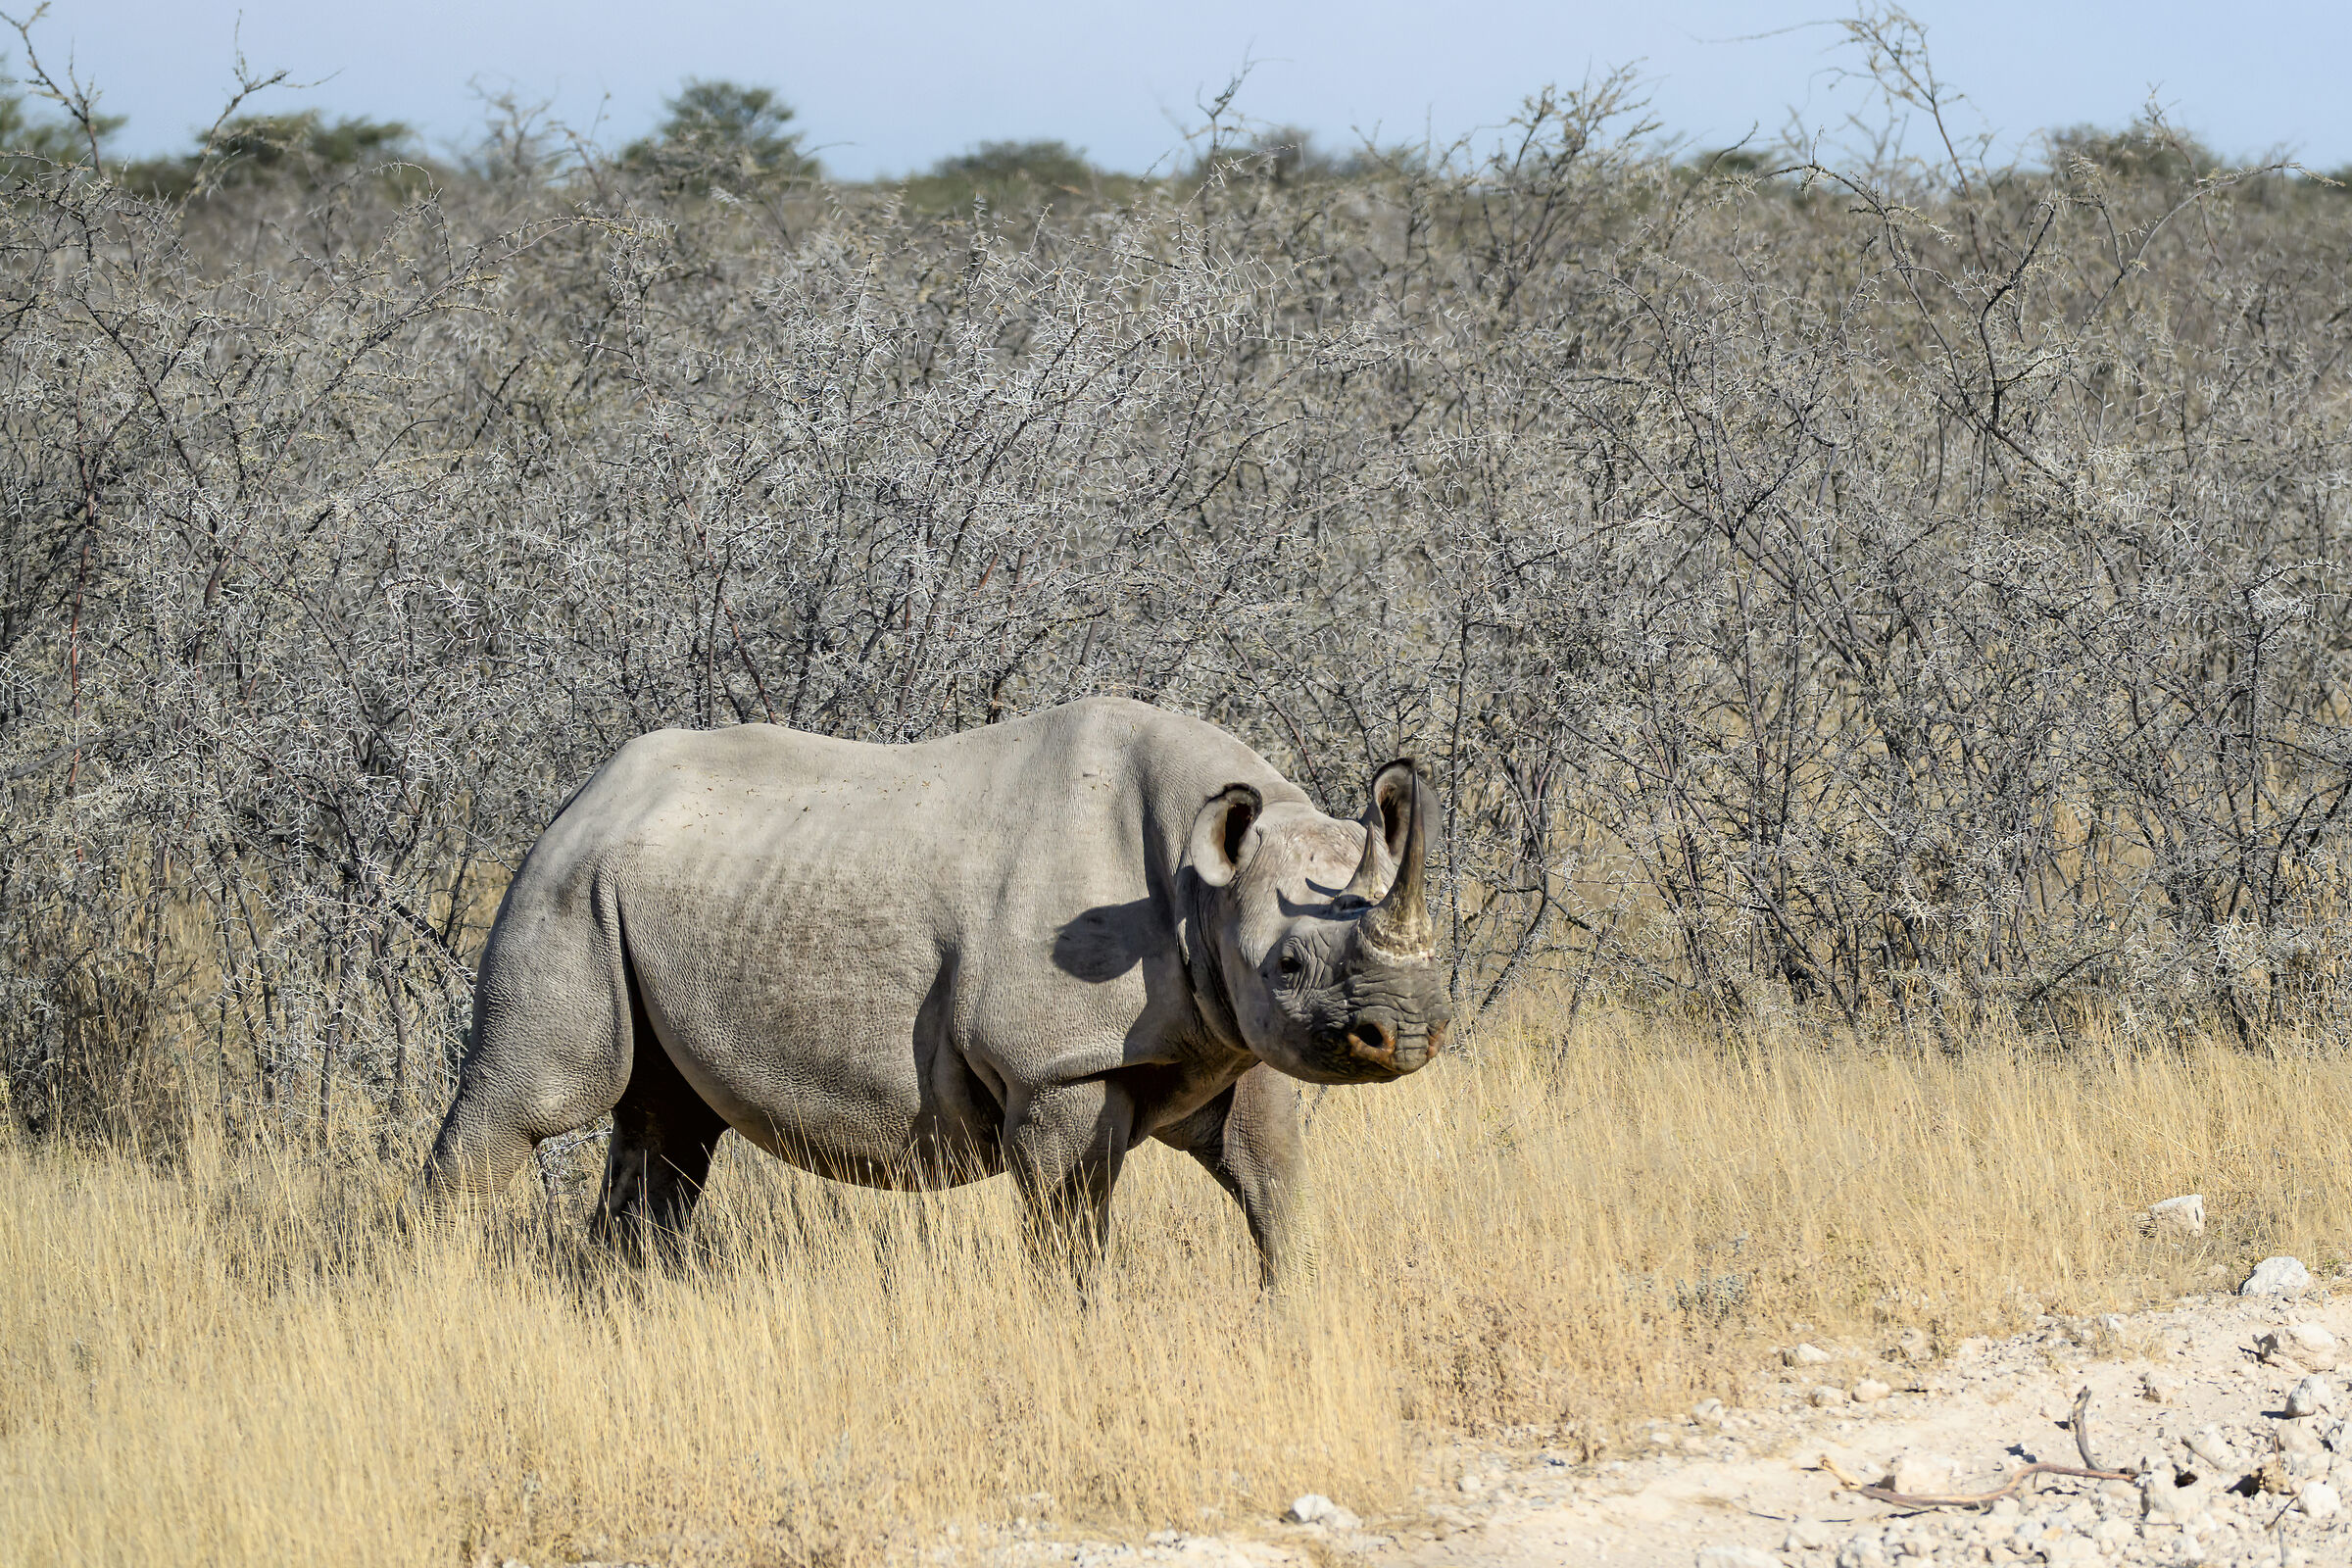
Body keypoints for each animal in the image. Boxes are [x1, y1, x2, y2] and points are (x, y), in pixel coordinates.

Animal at [424, 696, 1449, 1283]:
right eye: (1289, 964)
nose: (1406, 1034)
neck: (1208, 881)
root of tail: (581, 795)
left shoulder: (1232, 1037)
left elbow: (1275, 1187)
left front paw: (1293, 1316)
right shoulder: (1056, 1068)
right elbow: (1070, 1230)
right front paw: (1077, 1340)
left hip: (641, 891)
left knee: (666, 1124)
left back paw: (627, 1307)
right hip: (563, 884)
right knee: (535, 1102)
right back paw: (442, 1298)